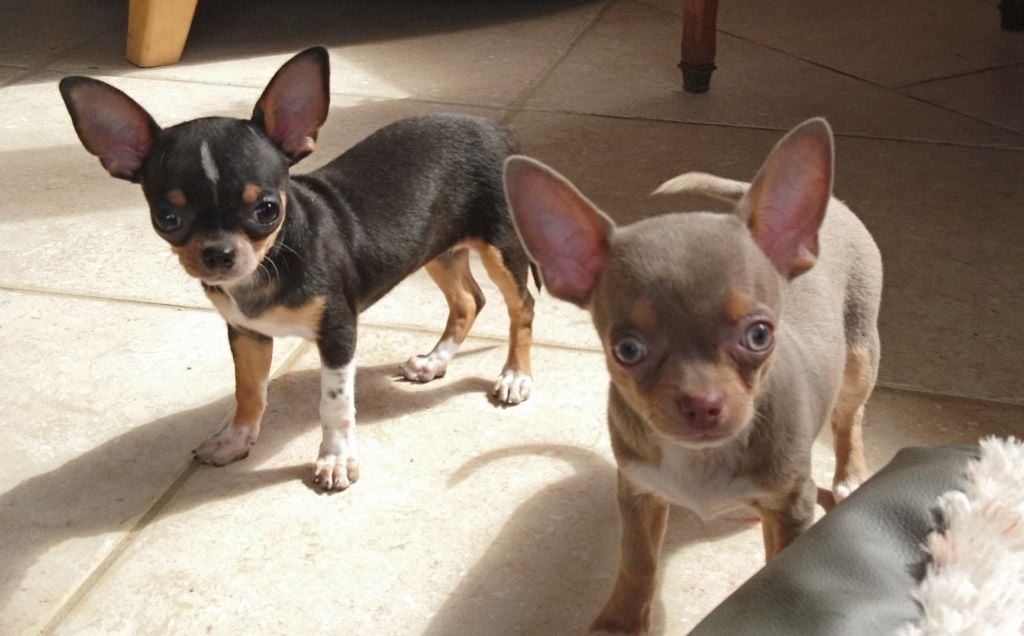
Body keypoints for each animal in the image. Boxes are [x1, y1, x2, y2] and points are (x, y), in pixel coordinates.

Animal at [58, 47, 536, 489]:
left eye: (267, 209)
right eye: (167, 218)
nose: (218, 254)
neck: (269, 264)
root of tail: (494, 127)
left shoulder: (339, 334)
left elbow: (335, 405)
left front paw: (335, 459)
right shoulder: (247, 335)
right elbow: (249, 391)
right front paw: (236, 440)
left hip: (501, 249)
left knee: (522, 307)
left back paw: (515, 376)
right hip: (438, 250)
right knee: (469, 300)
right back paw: (435, 361)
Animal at [501, 117, 880, 630]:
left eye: (759, 335)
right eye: (627, 350)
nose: (702, 404)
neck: (703, 460)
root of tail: (834, 207)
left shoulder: (793, 505)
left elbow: (778, 562)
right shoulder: (638, 494)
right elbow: (637, 562)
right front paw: (620, 622)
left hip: (860, 354)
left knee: (849, 417)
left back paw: (850, 473)